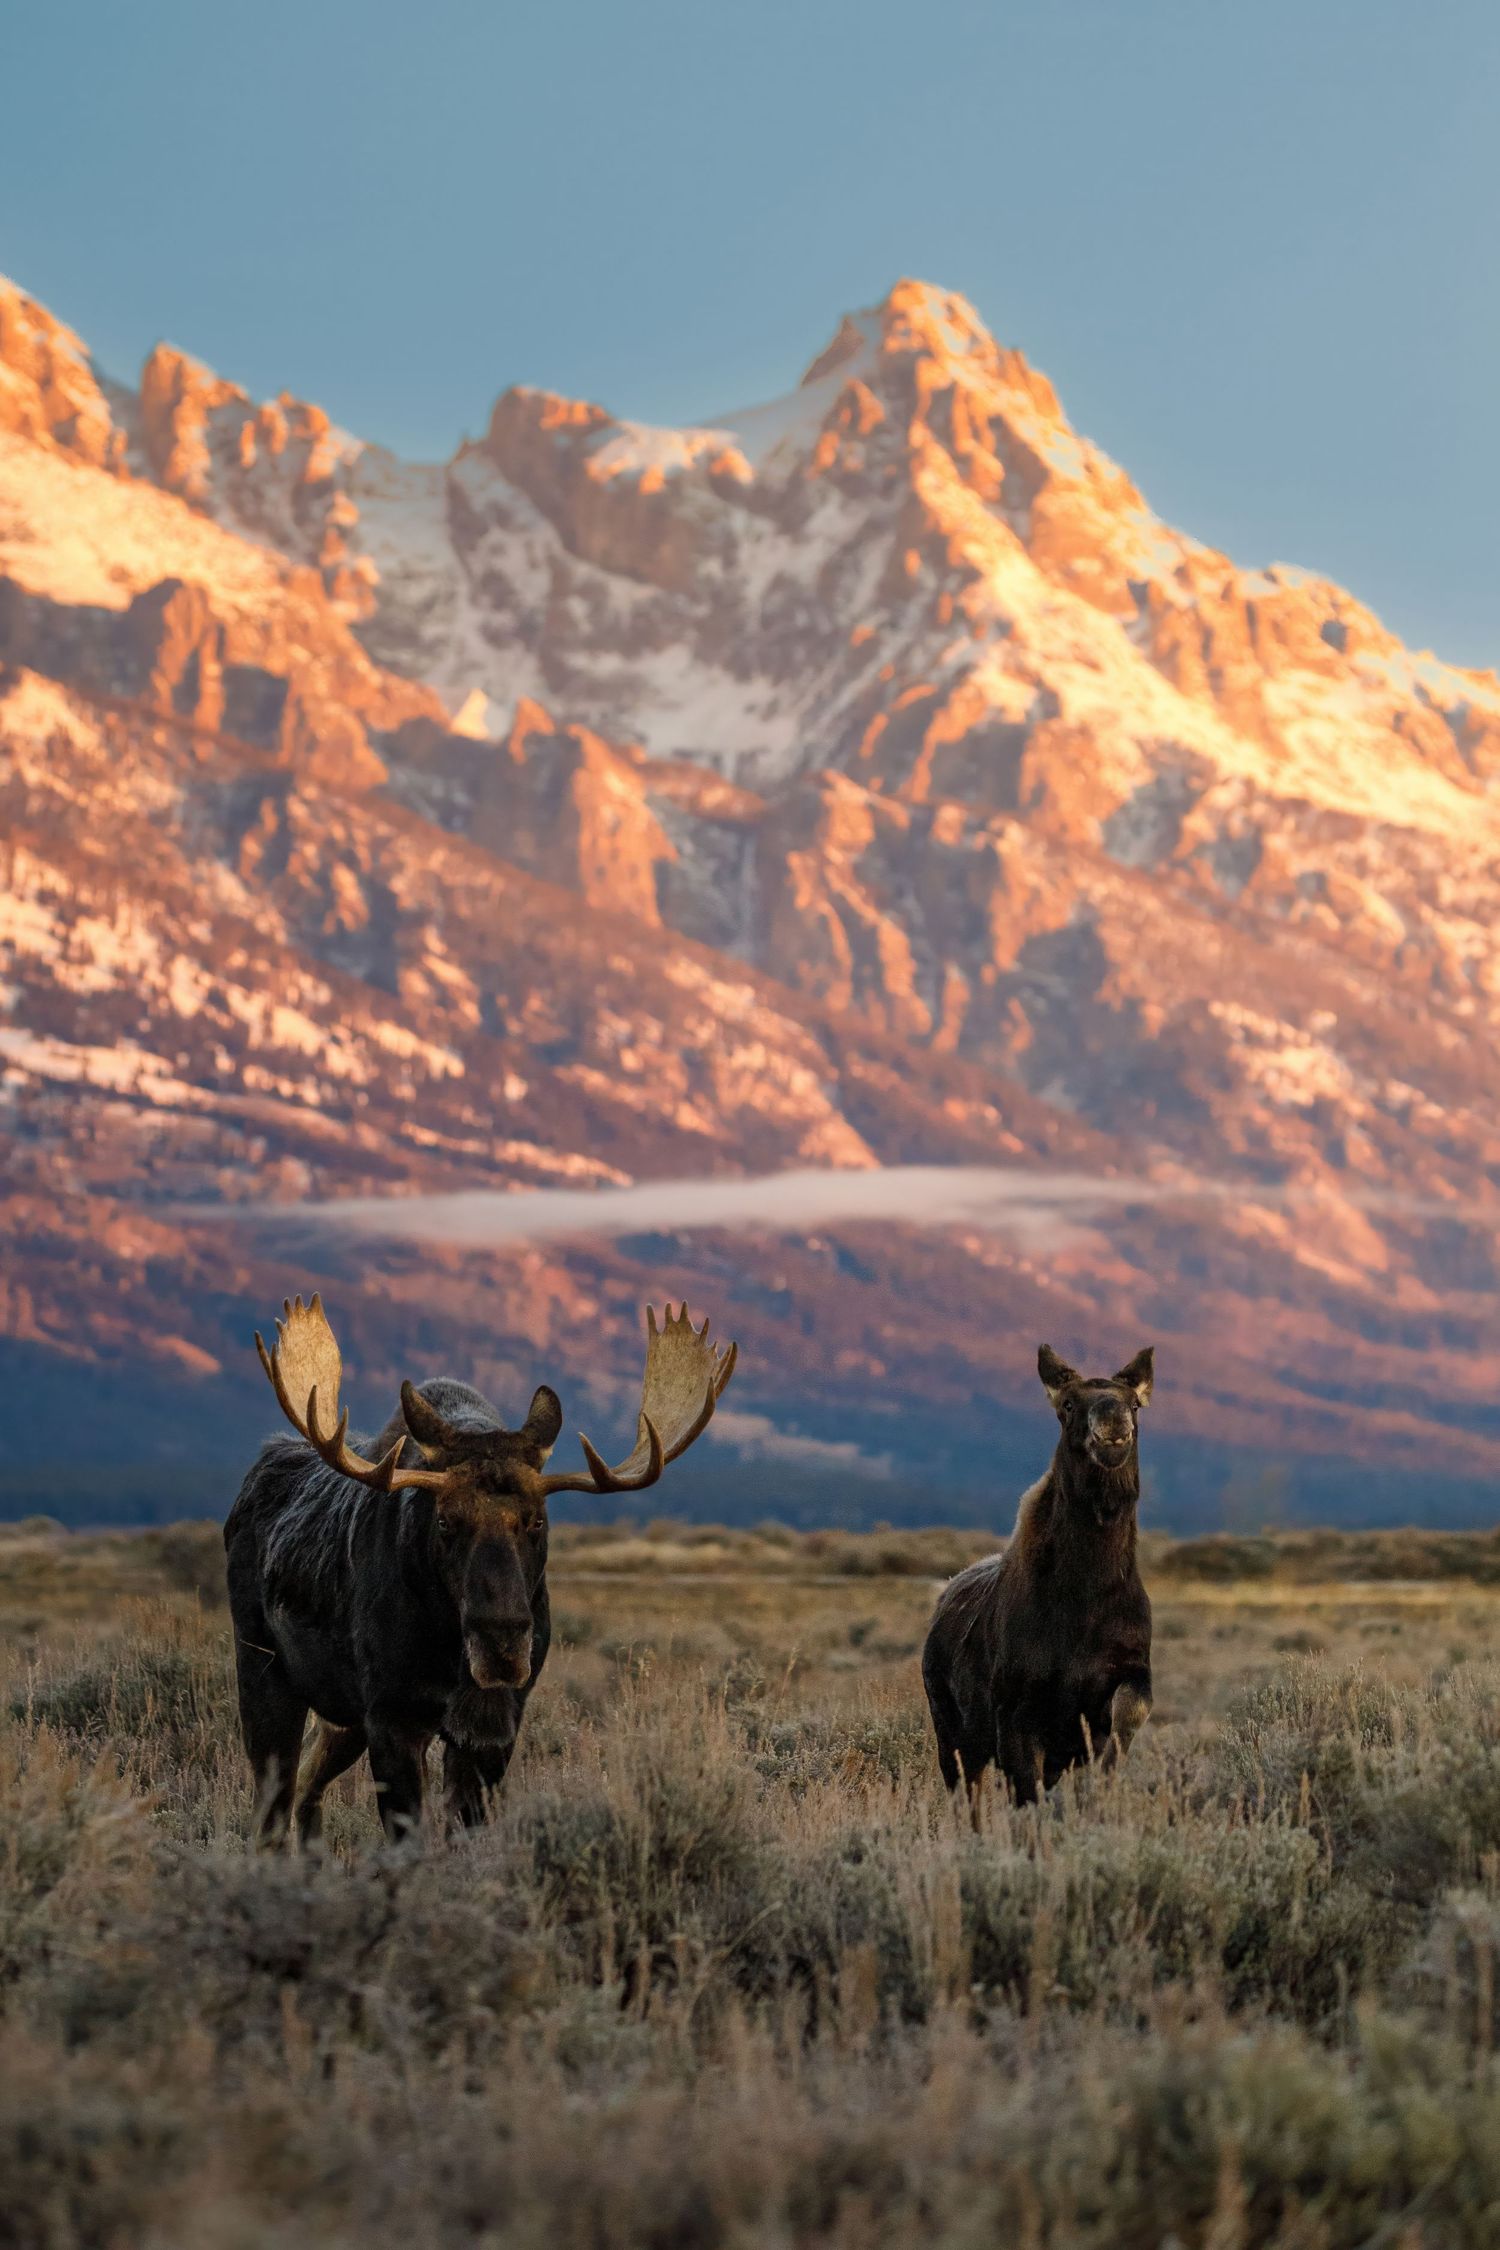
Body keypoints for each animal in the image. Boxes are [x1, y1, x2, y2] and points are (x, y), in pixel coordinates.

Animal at [224, 1293, 737, 1843]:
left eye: (537, 1519)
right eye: (445, 1520)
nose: (501, 1641)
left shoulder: (496, 1726)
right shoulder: (393, 1716)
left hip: (341, 1718)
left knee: (306, 1786)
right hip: (264, 1672)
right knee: (272, 1804)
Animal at [921, 1344, 1154, 1807]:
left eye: (1135, 1403)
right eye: (1068, 1404)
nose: (1112, 1418)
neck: (1089, 1592)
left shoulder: (1132, 1672)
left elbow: (1124, 1720)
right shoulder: (1015, 1710)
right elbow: (1024, 1793)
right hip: (951, 1730)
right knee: (966, 1794)